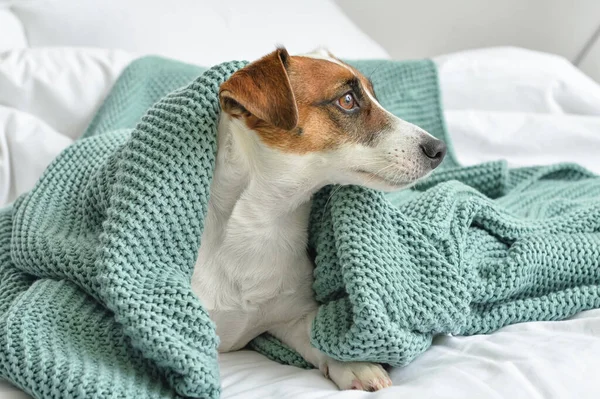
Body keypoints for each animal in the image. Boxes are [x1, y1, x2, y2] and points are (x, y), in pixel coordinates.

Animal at [191, 46, 446, 390]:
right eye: (347, 100)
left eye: (373, 95)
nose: (439, 149)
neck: (261, 224)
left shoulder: (293, 316)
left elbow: (321, 337)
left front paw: (354, 364)